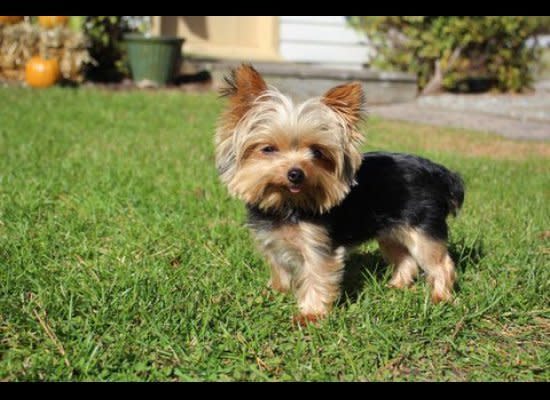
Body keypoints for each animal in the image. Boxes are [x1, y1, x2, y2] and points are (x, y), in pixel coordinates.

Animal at [216, 64, 466, 324]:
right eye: (268, 149)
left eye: (317, 152)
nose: (296, 173)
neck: (287, 204)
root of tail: (439, 172)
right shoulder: (273, 244)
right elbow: (280, 270)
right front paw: (275, 293)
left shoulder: (318, 246)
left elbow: (317, 278)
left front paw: (310, 315)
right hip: (391, 233)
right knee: (405, 259)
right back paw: (396, 287)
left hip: (422, 230)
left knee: (441, 263)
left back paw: (440, 298)